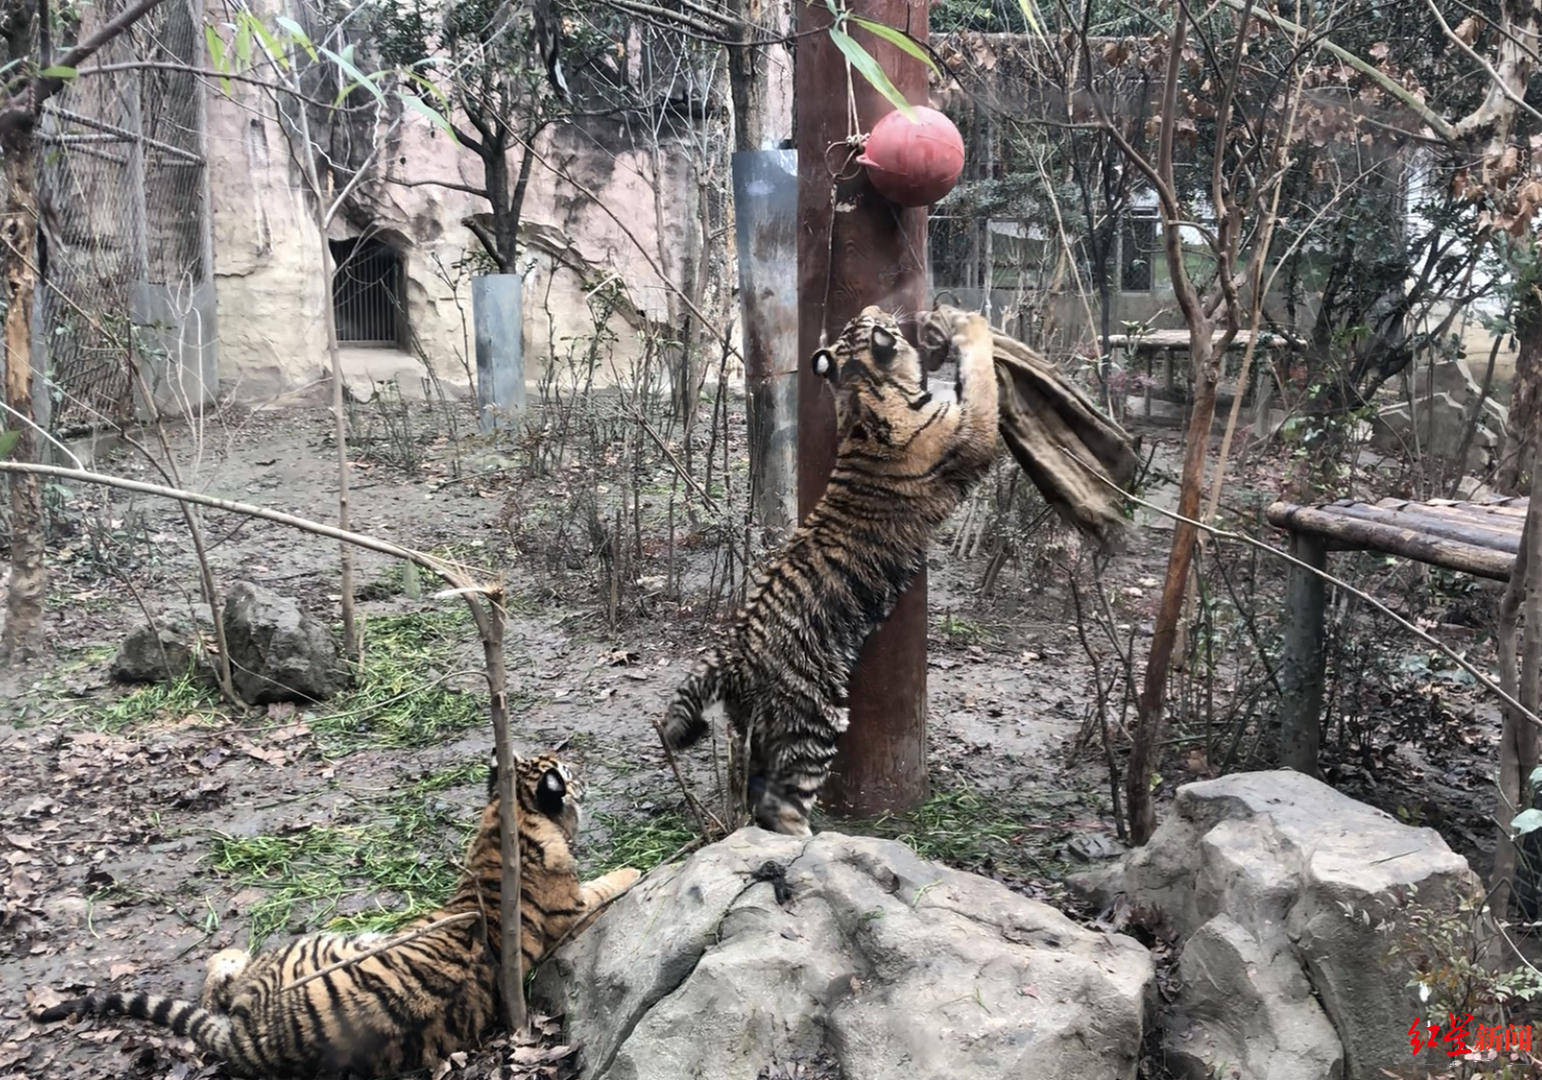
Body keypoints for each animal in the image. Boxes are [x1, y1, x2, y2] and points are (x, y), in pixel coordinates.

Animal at [35, 753, 640, 1078]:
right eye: (568, 771)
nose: (584, 774)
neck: (507, 818)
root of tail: (249, 1037)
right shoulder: (573, 909)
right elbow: (608, 882)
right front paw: (635, 866)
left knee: (218, 986)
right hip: (327, 939)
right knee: (222, 974)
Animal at [661, 303, 1000, 836]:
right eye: (874, 319)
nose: (874, 307)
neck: (866, 395)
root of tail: (735, 655)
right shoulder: (974, 433)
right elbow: (984, 379)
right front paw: (972, 325)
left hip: (757, 734)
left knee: (755, 795)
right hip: (814, 724)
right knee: (783, 807)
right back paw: (813, 840)